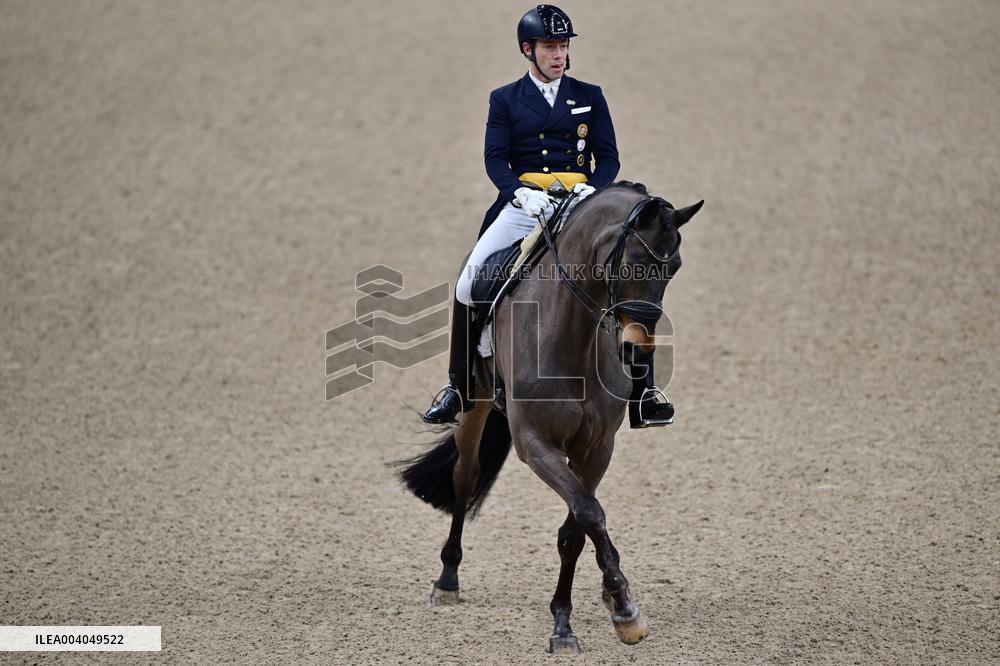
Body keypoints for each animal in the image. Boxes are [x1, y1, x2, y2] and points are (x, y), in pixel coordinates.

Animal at [398, 182, 703, 654]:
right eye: (632, 262)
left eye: (674, 268)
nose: (637, 350)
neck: (572, 337)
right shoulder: (535, 444)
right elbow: (589, 514)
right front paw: (621, 609)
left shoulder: (596, 449)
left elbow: (577, 526)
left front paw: (584, 615)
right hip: (474, 403)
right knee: (465, 476)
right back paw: (447, 579)